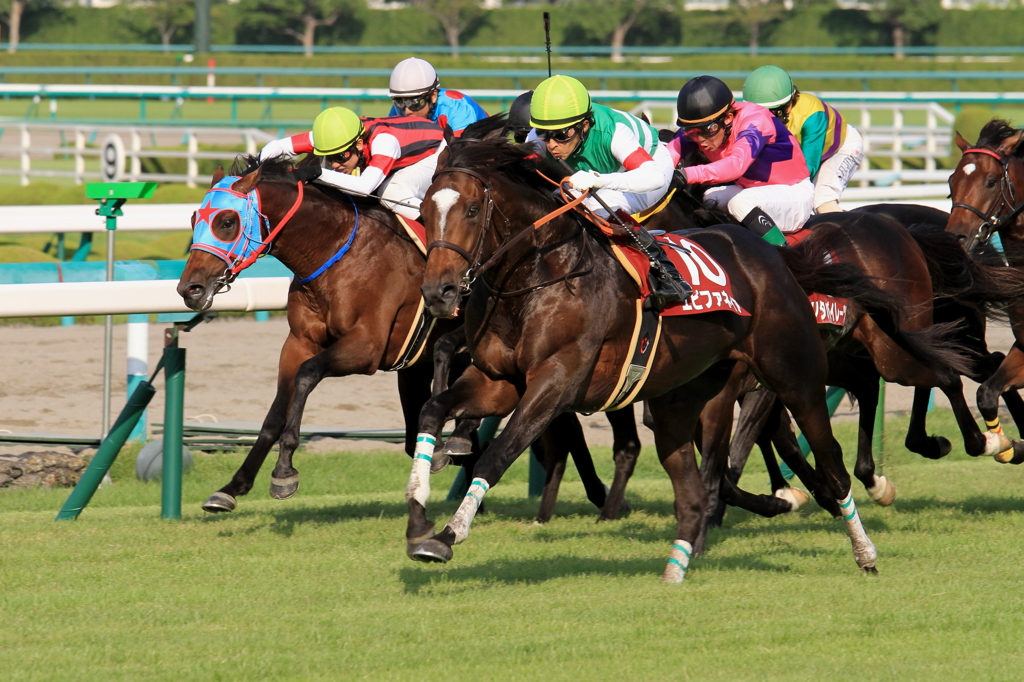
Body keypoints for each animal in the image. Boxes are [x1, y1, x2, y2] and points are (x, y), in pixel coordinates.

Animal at [399, 137, 921, 577]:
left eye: (471, 209)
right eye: (423, 209)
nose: (439, 292)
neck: (542, 278)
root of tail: (771, 255)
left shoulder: (556, 382)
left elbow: (497, 455)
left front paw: (446, 536)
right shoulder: (498, 380)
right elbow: (432, 410)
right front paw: (419, 512)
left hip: (795, 375)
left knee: (833, 458)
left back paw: (864, 546)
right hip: (682, 400)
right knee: (696, 484)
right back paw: (679, 566)